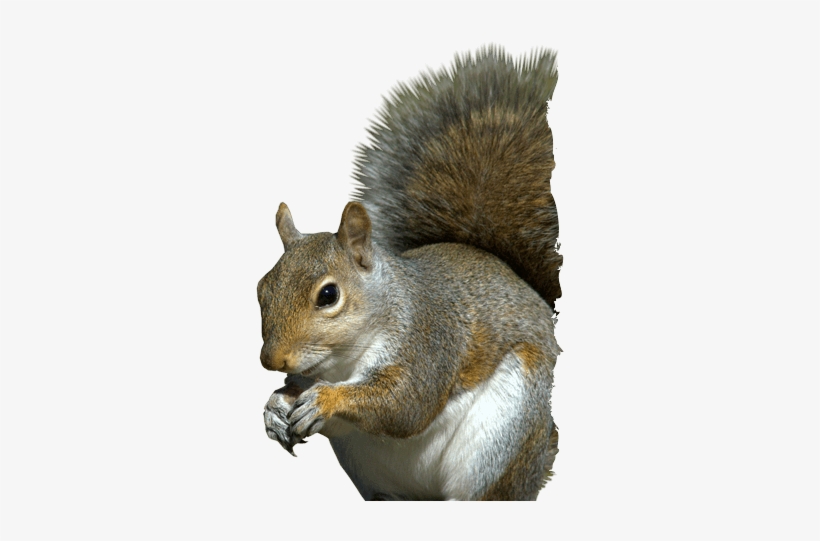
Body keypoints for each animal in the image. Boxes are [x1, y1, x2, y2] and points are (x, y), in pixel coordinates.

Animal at [258, 46, 561, 501]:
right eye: (261, 289)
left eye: (328, 295)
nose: (271, 359)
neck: (342, 364)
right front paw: (274, 407)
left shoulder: (426, 339)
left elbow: (405, 404)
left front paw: (324, 400)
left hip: (503, 438)